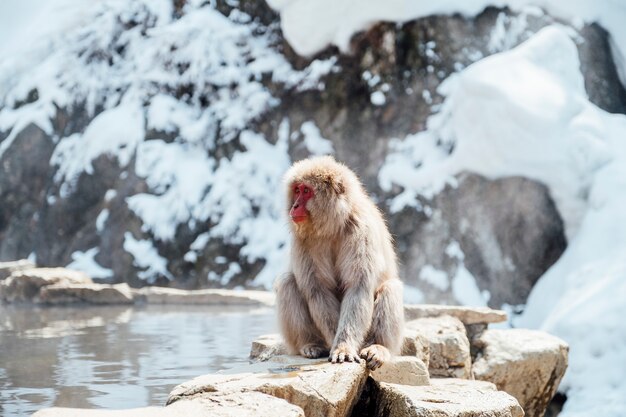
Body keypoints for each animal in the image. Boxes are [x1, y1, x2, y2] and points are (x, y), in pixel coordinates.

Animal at [274, 155, 402, 368]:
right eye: (297, 190)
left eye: (307, 191)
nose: (294, 206)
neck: (332, 227)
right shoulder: (303, 241)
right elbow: (318, 289)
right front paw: (338, 345)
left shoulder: (361, 231)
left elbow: (358, 287)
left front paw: (343, 346)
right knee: (287, 282)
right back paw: (312, 344)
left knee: (390, 287)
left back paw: (378, 347)